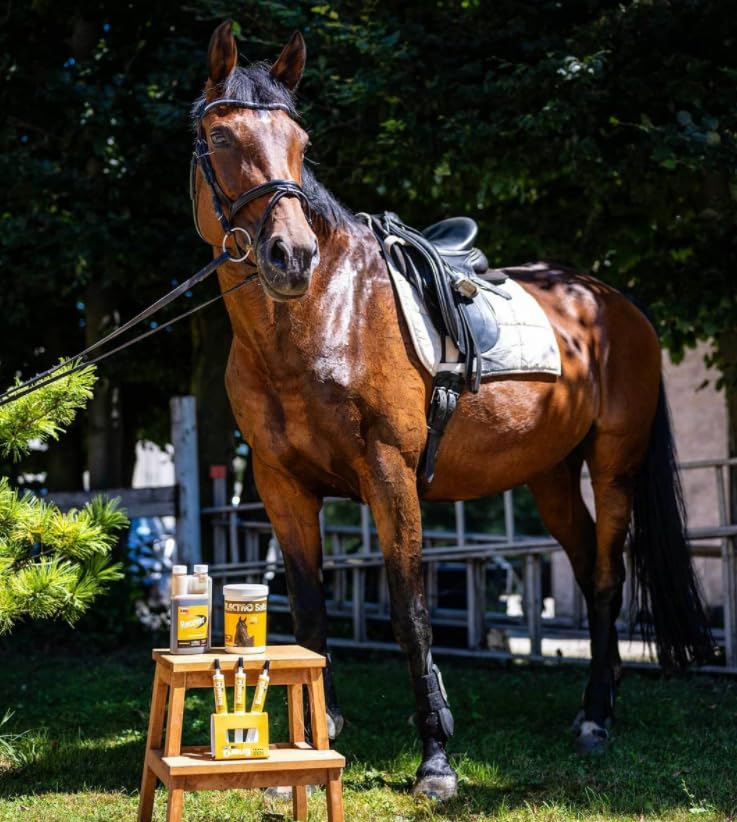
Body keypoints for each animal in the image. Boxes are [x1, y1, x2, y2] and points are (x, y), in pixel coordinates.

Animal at [190, 21, 713, 800]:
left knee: (605, 576)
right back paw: (599, 701)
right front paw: (304, 750)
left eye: (302, 143)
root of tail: (611, 302)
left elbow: (410, 614)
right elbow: (308, 616)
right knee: (588, 565)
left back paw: (596, 719)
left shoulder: (390, 476)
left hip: (612, 467)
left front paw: (435, 760)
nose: (291, 256)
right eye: (221, 137)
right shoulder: (282, 488)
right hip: (550, 476)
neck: (319, 320)